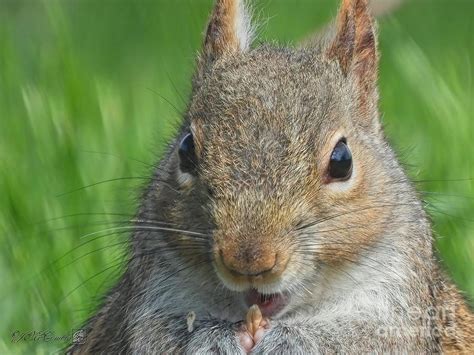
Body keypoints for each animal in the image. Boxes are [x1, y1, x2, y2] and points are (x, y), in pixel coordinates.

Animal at [68, 0, 472, 352]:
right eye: (185, 150)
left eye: (342, 161)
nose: (248, 261)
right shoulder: (148, 307)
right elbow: (161, 337)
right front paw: (220, 337)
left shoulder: (400, 310)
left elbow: (357, 340)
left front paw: (287, 338)